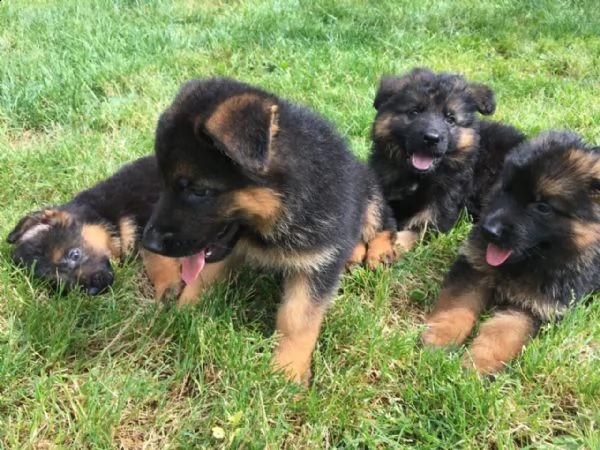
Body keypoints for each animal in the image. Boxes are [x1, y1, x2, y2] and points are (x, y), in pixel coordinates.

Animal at [141, 77, 394, 384]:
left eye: (199, 191)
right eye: (163, 182)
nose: (149, 243)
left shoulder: (318, 260)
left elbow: (297, 318)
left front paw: (287, 370)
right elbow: (201, 278)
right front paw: (183, 311)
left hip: (369, 196)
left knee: (383, 223)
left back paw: (378, 251)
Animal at [368, 69, 524, 255]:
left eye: (450, 119)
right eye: (414, 112)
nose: (431, 138)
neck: (418, 177)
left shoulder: (440, 211)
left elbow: (411, 233)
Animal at [422, 132, 600, 374]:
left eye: (542, 207)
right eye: (506, 189)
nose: (489, 230)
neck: (524, 263)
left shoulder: (535, 308)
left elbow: (502, 333)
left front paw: (478, 365)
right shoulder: (475, 268)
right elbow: (457, 306)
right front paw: (439, 337)